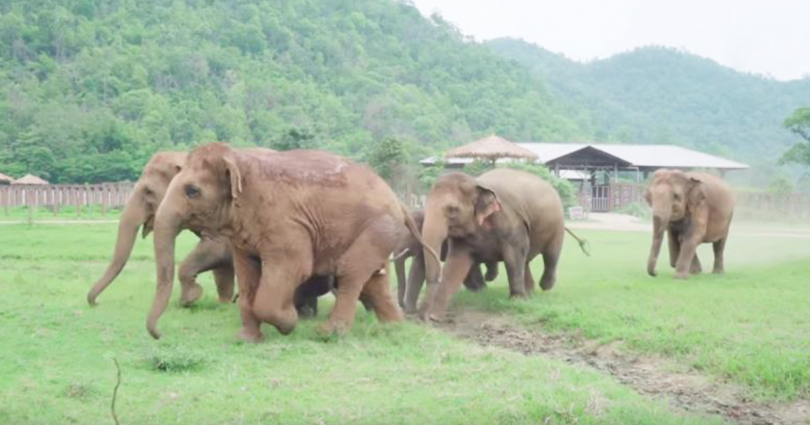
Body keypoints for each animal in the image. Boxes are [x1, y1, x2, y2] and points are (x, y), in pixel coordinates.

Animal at [145, 142, 436, 342]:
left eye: (192, 191)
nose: (160, 334)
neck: (240, 159)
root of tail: (398, 201)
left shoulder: (287, 226)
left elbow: (294, 267)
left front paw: (288, 322)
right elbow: (247, 273)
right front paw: (247, 339)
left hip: (379, 228)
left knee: (350, 272)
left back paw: (327, 333)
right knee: (375, 279)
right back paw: (393, 328)